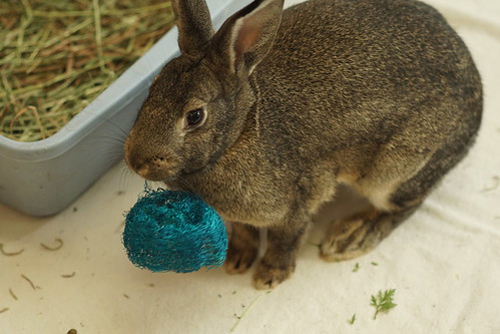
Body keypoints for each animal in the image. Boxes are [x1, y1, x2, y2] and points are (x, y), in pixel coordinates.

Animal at [123, 0, 482, 288]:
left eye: (195, 116)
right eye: (152, 89)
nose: (136, 160)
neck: (241, 132)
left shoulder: (297, 201)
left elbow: (285, 239)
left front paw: (269, 276)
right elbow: (244, 230)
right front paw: (237, 260)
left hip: (393, 170)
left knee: (405, 204)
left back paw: (351, 236)